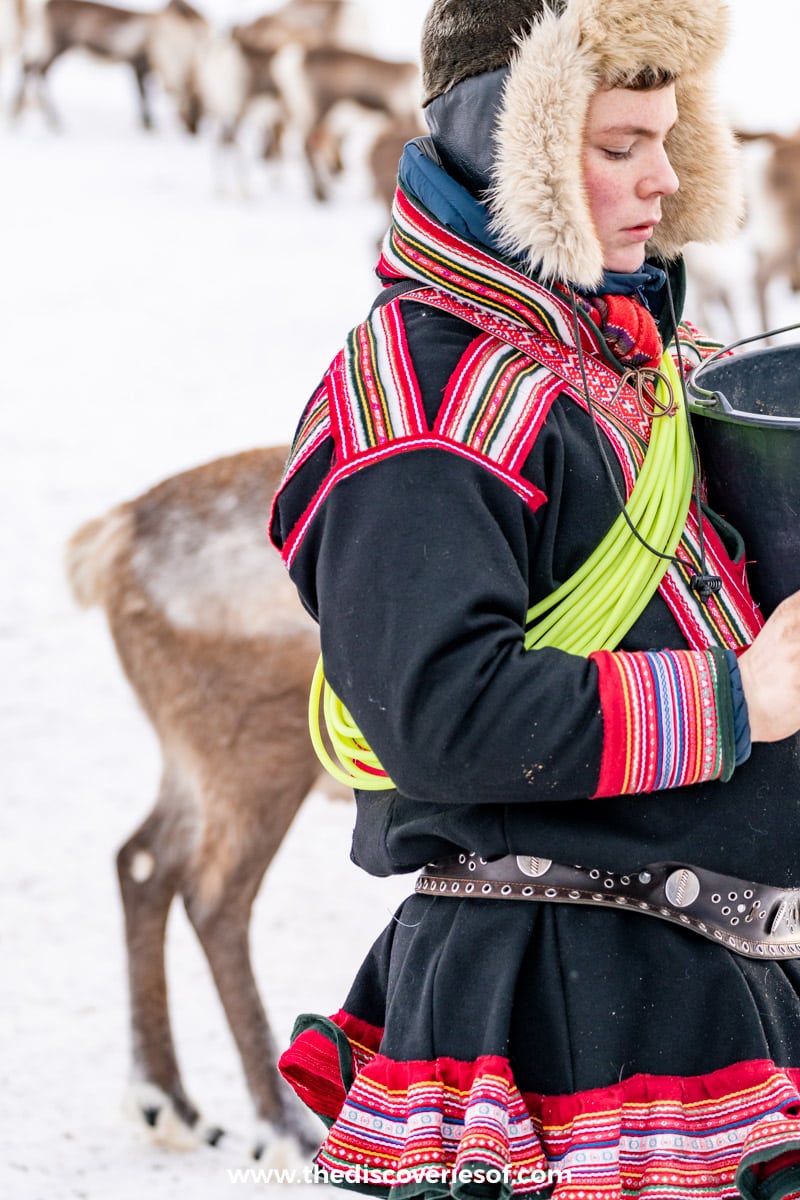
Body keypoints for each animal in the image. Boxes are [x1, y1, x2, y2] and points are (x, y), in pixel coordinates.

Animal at [65, 445, 333, 1161]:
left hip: (193, 760)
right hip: (259, 754)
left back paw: (169, 1105)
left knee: (142, 859)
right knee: (215, 898)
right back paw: (286, 1130)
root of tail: (114, 542)